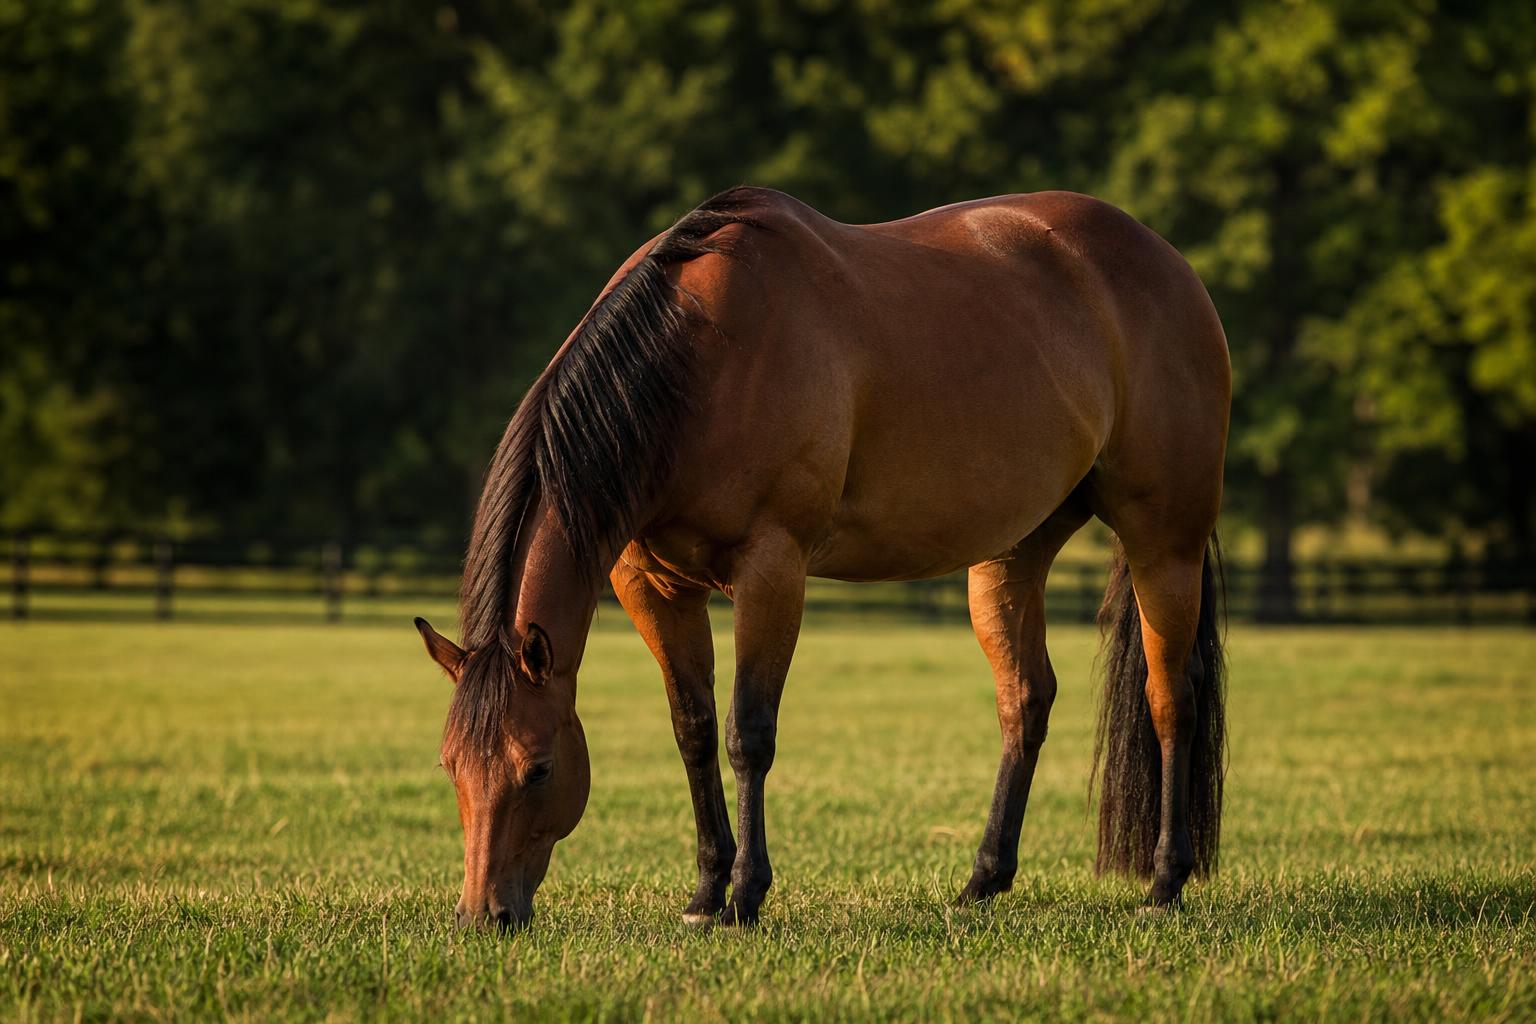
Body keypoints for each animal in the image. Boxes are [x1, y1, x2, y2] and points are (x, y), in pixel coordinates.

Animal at [413, 185, 1230, 930]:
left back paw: (1164, 884)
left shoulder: (771, 569)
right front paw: (705, 892)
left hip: (1164, 543)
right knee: (1025, 701)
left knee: (1170, 698)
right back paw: (981, 883)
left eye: (540, 768)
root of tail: (1167, 262)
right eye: (451, 765)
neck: (698, 356)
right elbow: (693, 730)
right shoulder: (651, 584)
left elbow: (748, 732)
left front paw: (745, 896)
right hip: (1010, 556)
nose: (482, 916)